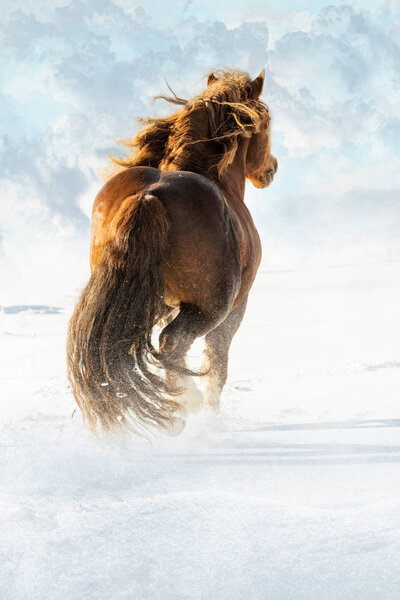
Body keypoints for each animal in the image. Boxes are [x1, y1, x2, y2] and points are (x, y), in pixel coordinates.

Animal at [66, 70, 278, 434]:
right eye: (265, 122)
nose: (271, 169)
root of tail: (149, 197)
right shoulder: (235, 310)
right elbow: (217, 364)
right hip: (207, 310)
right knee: (173, 344)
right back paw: (183, 406)